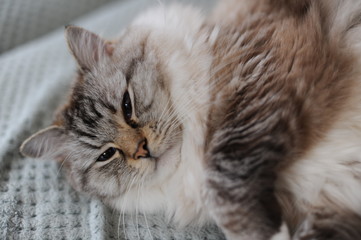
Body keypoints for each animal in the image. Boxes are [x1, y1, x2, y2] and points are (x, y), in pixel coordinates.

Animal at [19, 0, 361, 239]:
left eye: (127, 106)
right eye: (106, 155)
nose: (142, 150)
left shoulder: (258, 87)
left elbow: (222, 179)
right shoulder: (327, 202)